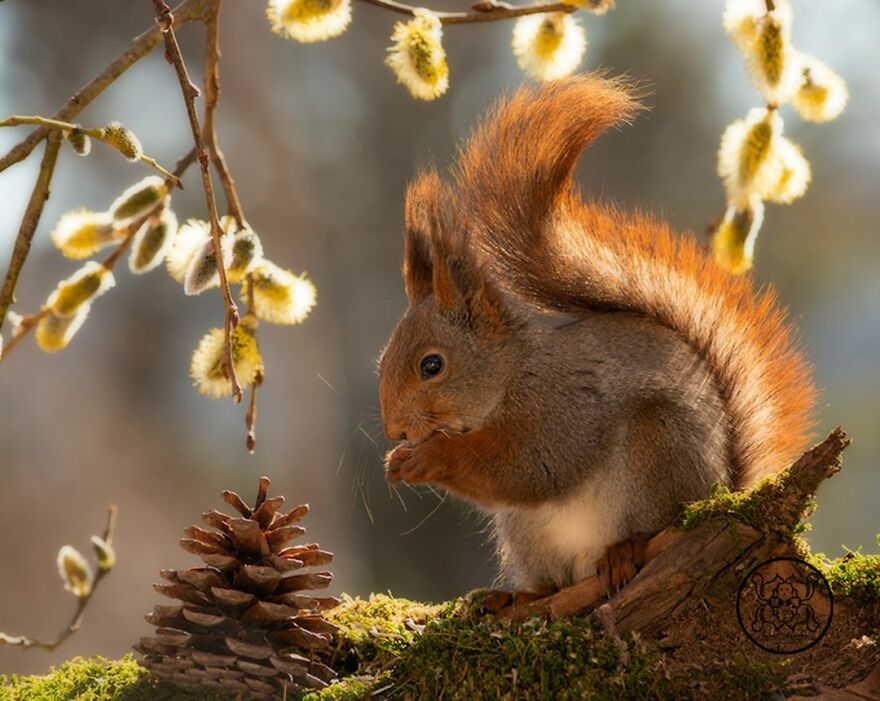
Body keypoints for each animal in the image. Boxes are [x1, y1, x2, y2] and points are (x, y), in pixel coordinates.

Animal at [378, 74, 816, 595]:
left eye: (432, 365)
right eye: (382, 362)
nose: (394, 430)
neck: (512, 375)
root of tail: (722, 488)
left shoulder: (562, 408)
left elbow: (528, 467)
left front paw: (428, 458)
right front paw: (398, 459)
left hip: (658, 452)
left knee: (654, 524)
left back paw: (624, 550)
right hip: (527, 533)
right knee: (552, 583)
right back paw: (517, 599)